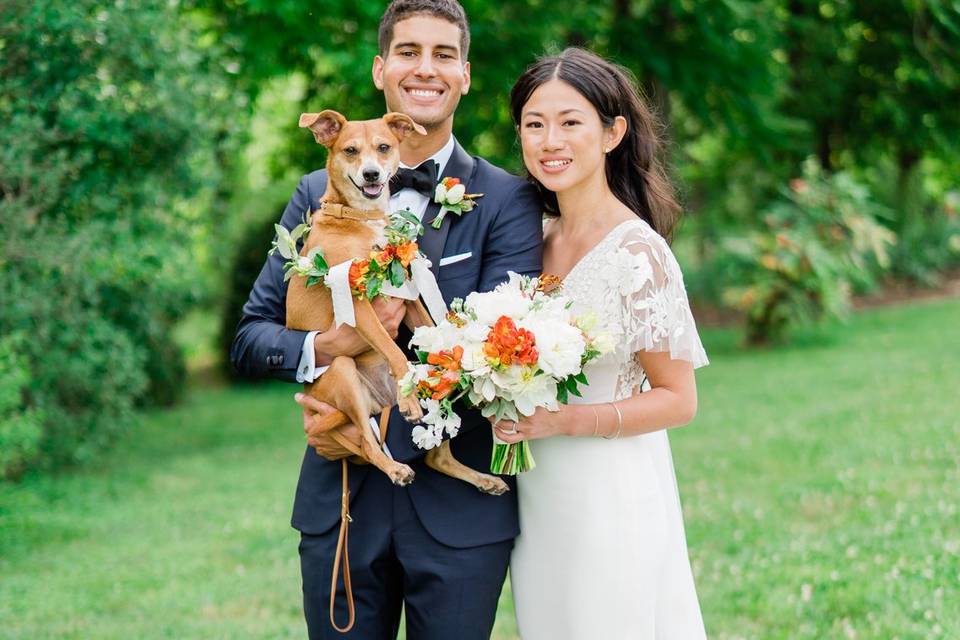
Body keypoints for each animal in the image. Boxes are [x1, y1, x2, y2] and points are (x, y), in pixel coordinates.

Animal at [284, 110, 510, 496]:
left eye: (384, 147)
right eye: (350, 150)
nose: (372, 174)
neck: (361, 217)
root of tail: (379, 401)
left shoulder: (409, 297)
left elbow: (431, 332)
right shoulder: (359, 305)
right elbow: (391, 349)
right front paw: (406, 390)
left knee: (435, 454)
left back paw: (482, 478)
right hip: (343, 372)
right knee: (366, 441)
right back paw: (395, 466)